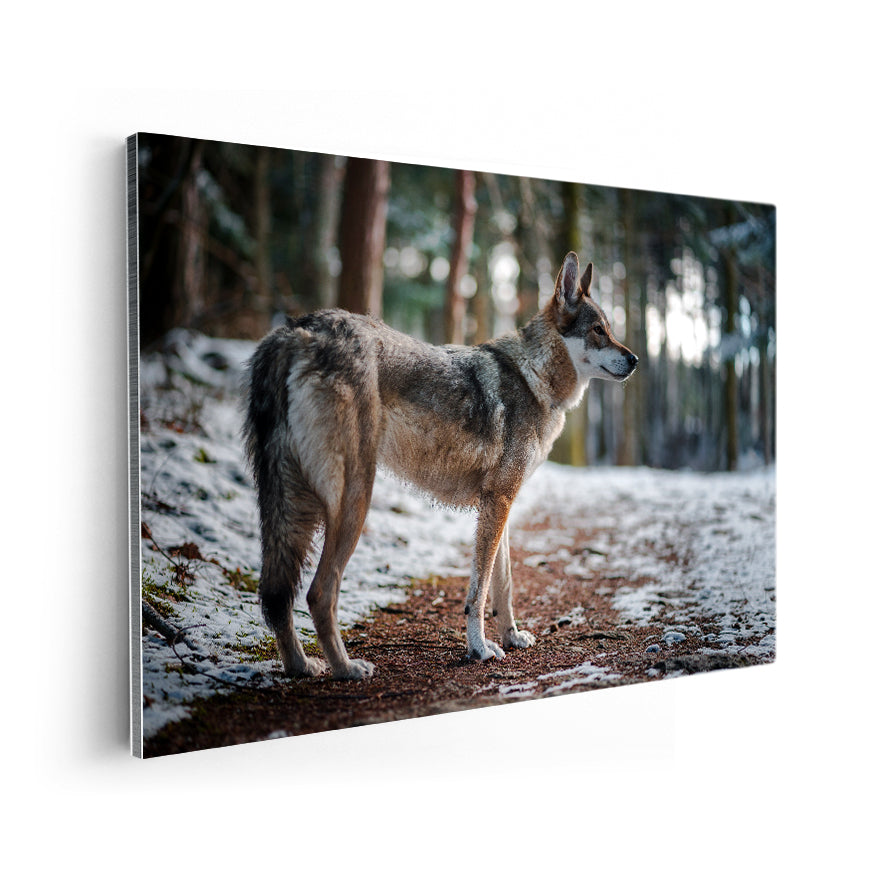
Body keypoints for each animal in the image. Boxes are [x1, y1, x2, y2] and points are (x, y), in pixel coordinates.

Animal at [244, 252, 637, 679]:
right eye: (598, 330)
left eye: (610, 329)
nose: (635, 359)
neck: (534, 378)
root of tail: (295, 329)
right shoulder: (498, 502)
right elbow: (479, 591)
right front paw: (480, 648)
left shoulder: (500, 503)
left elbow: (504, 585)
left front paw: (512, 637)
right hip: (353, 499)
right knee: (319, 593)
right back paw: (346, 668)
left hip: (289, 504)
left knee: (277, 595)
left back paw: (301, 666)